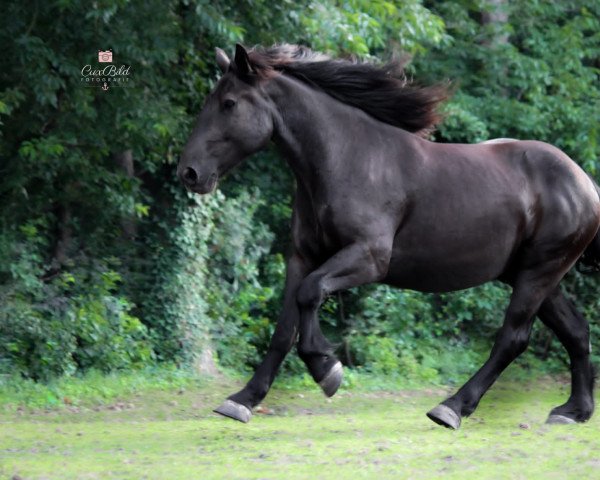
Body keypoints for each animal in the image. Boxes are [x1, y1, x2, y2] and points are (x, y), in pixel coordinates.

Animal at [178, 44, 600, 428]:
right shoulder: (301, 256)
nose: (189, 172)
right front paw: (242, 400)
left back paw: (452, 408)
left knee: (513, 338)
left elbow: (310, 293)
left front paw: (326, 368)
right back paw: (572, 411)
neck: (345, 159)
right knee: (576, 331)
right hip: (534, 276)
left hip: (537, 273)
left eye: (229, 103)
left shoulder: (368, 257)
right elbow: (284, 329)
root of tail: (583, 182)